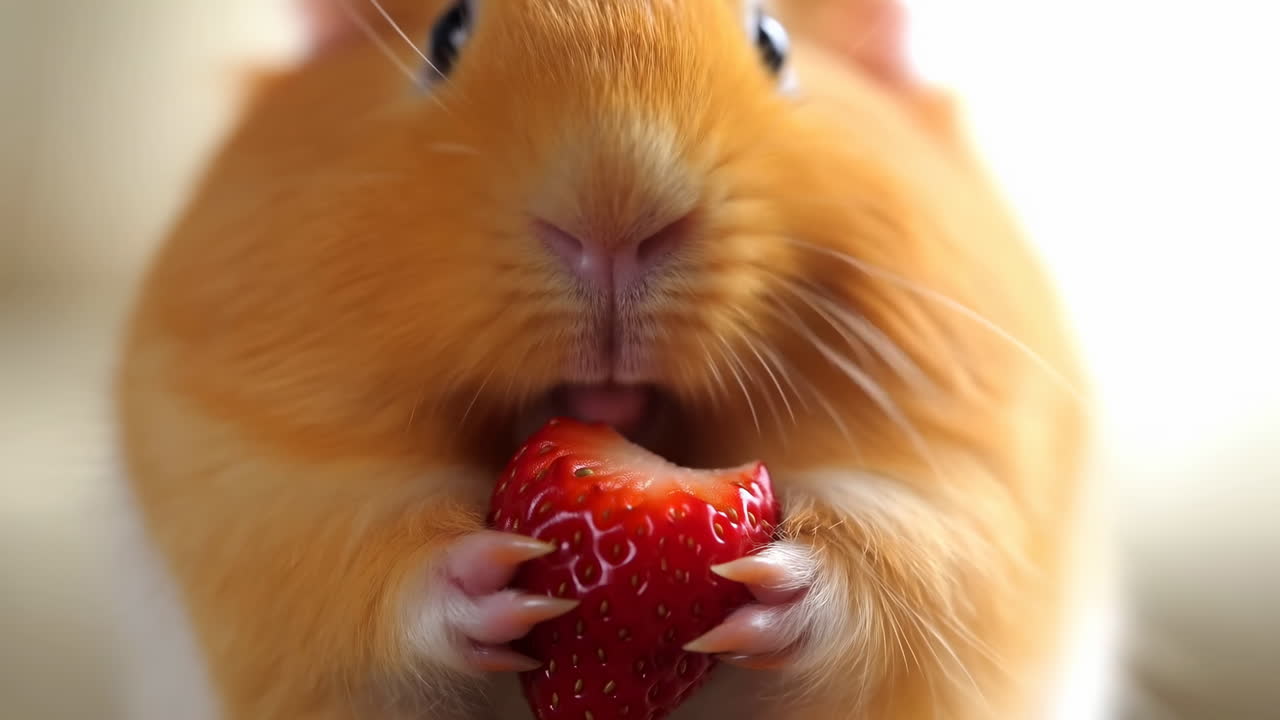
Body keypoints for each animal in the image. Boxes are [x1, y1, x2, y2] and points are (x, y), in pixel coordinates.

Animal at [113, 0, 1111, 718]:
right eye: (444, 35)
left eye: (775, 43)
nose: (613, 214)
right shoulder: (254, 480)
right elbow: (363, 561)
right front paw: (499, 578)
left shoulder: (973, 487)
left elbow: (897, 554)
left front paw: (764, 585)